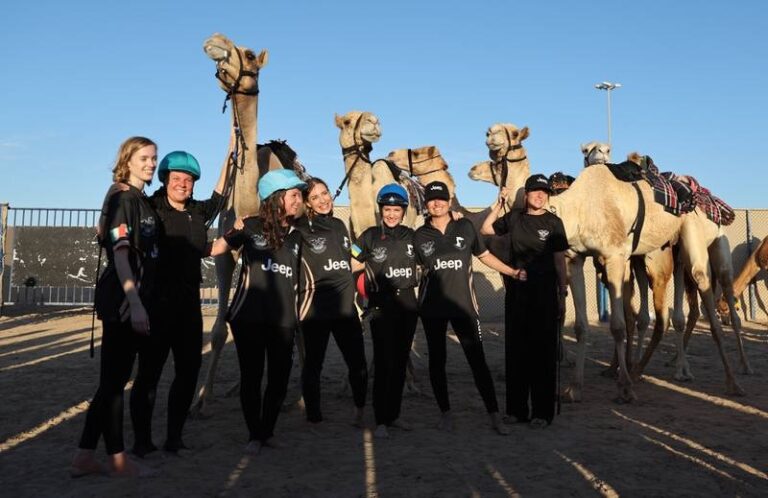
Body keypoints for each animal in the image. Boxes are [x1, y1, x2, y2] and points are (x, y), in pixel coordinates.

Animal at [468, 124, 743, 401]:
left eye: (513, 134)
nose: (490, 134)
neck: (575, 209)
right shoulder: (573, 259)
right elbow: (580, 326)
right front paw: (574, 387)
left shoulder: (613, 257)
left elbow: (618, 325)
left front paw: (624, 387)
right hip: (659, 253)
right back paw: (643, 370)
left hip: (694, 237)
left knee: (704, 291)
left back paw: (731, 380)